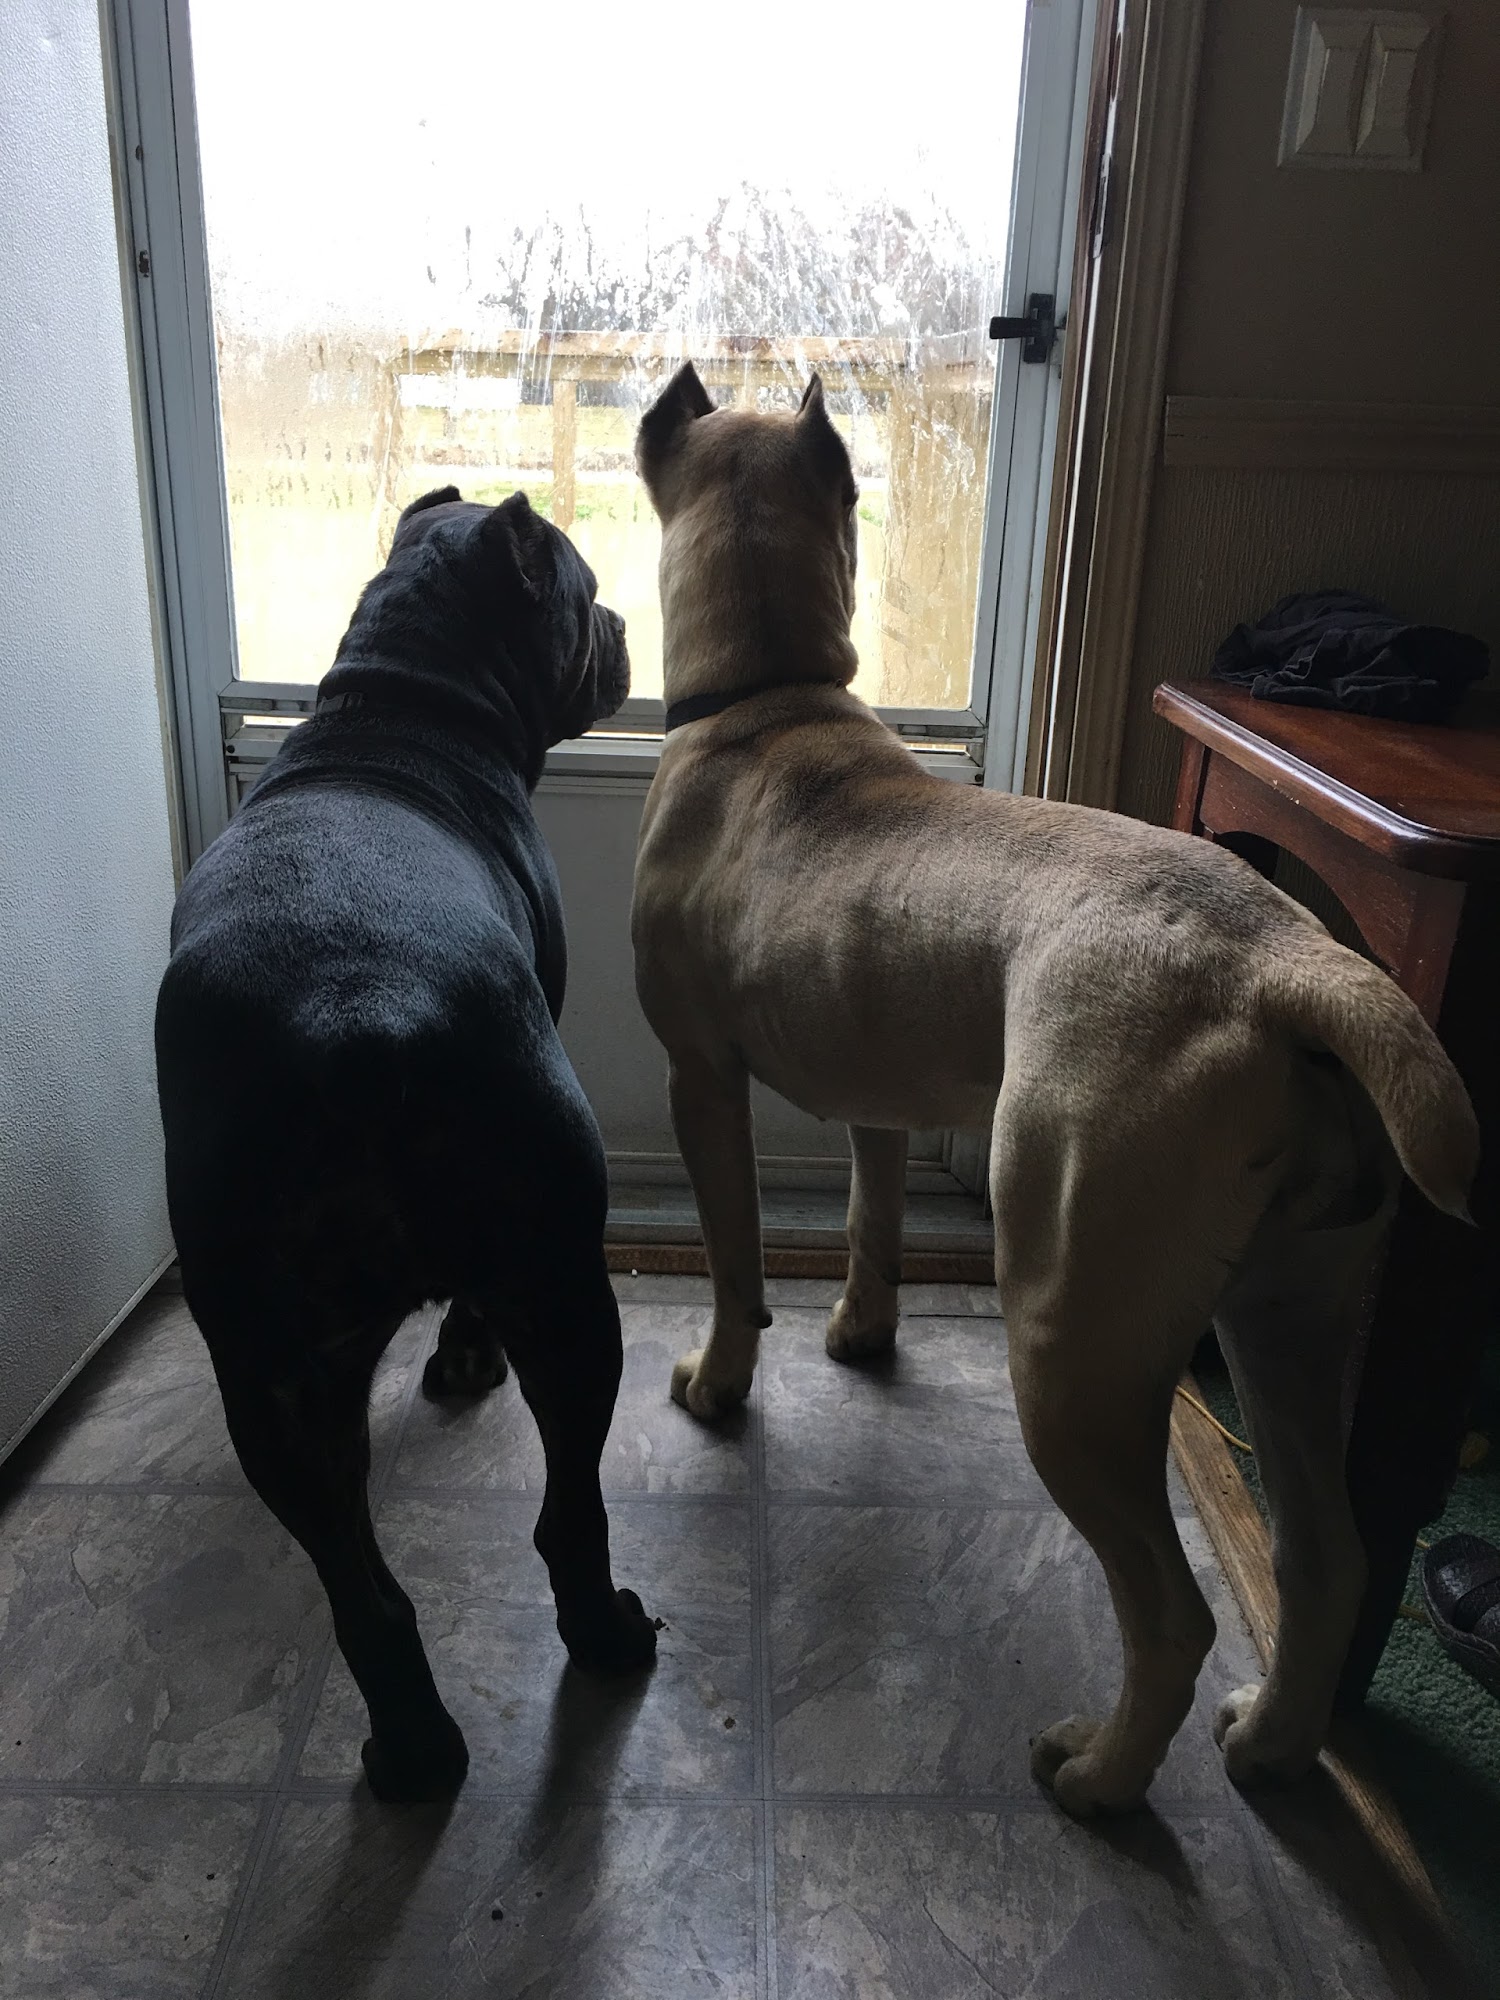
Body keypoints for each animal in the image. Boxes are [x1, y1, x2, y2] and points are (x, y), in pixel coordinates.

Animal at [156, 488, 657, 1803]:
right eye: (590, 593)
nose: (625, 624)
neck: (404, 693)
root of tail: (358, 1011)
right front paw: (464, 1358)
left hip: (271, 1377)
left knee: (364, 1589)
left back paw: (417, 1748)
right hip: (564, 1283)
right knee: (567, 1508)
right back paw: (606, 1635)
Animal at [629, 364, 1478, 1816]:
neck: (765, 693)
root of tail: (1285, 961)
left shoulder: (702, 1079)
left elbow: (737, 1256)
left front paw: (719, 1379)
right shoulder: (878, 1085)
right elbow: (869, 1213)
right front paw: (859, 1332)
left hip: (1072, 1338)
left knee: (1173, 1614)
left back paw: (1101, 1772)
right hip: (1293, 1315)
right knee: (1327, 1557)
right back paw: (1272, 1740)